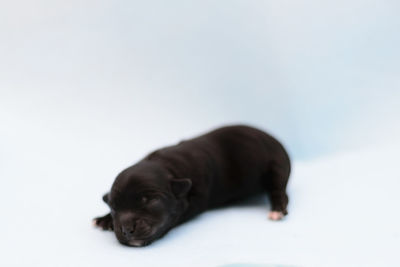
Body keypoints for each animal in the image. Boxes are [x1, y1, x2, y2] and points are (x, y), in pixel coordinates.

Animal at [95, 125, 292, 247]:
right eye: (113, 208)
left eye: (151, 201)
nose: (126, 230)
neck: (166, 166)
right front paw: (105, 219)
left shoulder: (198, 197)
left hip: (277, 166)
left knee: (279, 190)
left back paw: (277, 209)